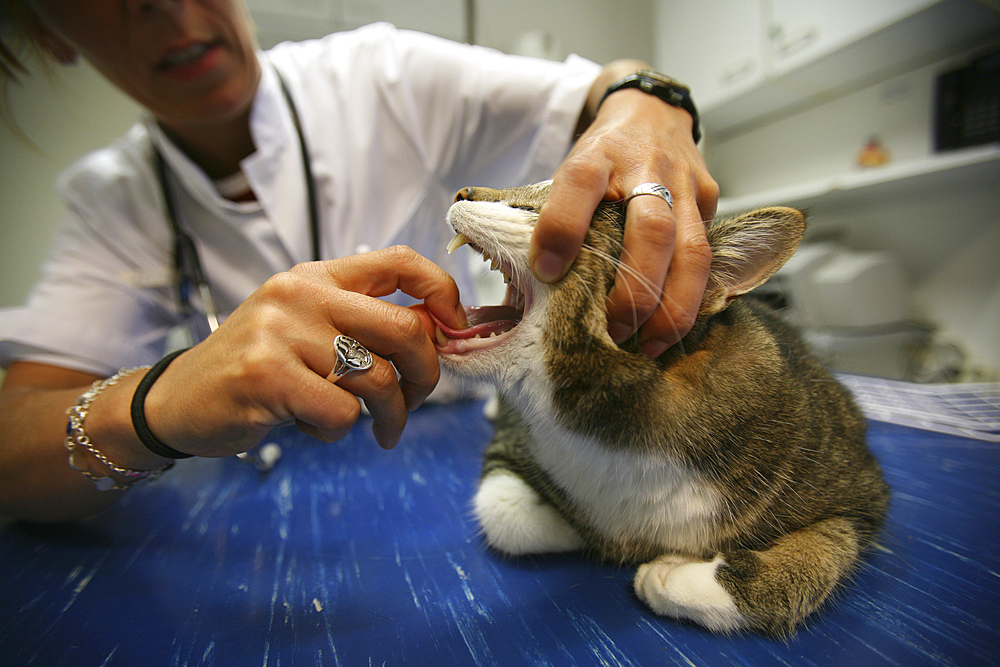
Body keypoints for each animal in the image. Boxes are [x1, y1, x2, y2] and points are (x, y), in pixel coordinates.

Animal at [434, 181, 888, 636]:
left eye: (546, 208)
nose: (461, 192)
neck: (617, 426)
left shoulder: (860, 492)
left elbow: (819, 554)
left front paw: (678, 578)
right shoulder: (511, 444)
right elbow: (506, 516)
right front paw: (594, 534)